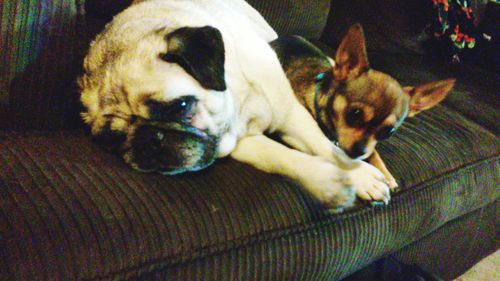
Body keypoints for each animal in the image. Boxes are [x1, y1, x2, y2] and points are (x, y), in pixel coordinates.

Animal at [79, 0, 390, 210]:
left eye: (180, 106)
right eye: (111, 140)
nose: (148, 141)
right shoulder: (239, 141)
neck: (239, 97)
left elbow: (327, 147)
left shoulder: (290, 114)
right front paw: (328, 181)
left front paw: (359, 174)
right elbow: (284, 157)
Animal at [272, 24, 456, 188]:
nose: (359, 151)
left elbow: (374, 151)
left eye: (389, 132)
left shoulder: (370, 145)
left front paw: (386, 174)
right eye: (355, 113)